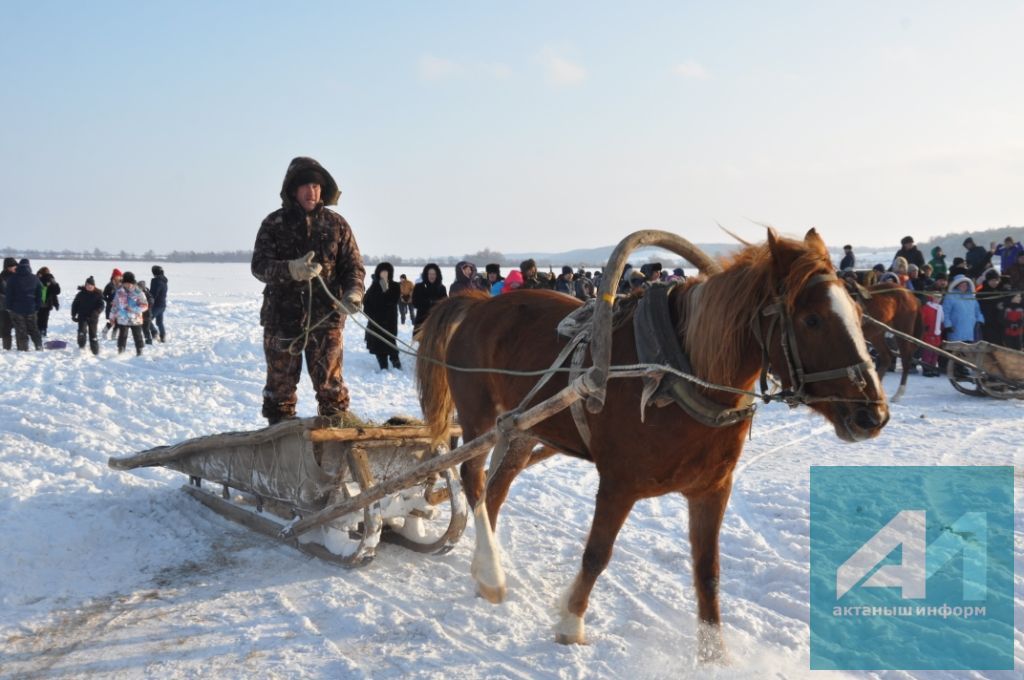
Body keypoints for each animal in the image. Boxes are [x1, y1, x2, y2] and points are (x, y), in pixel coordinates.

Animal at [415, 228, 888, 659]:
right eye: (811, 320)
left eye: (858, 313)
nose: (874, 414)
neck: (677, 374)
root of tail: (479, 303)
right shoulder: (618, 484)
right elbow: (597, 554)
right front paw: (571, 623)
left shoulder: (713, 489)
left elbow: (708, 572)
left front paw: (713, 657)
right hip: (479, 416)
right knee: (472, 478)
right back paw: (492, 574)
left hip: (522, 427)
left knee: (495, 490)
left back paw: (485, 565)